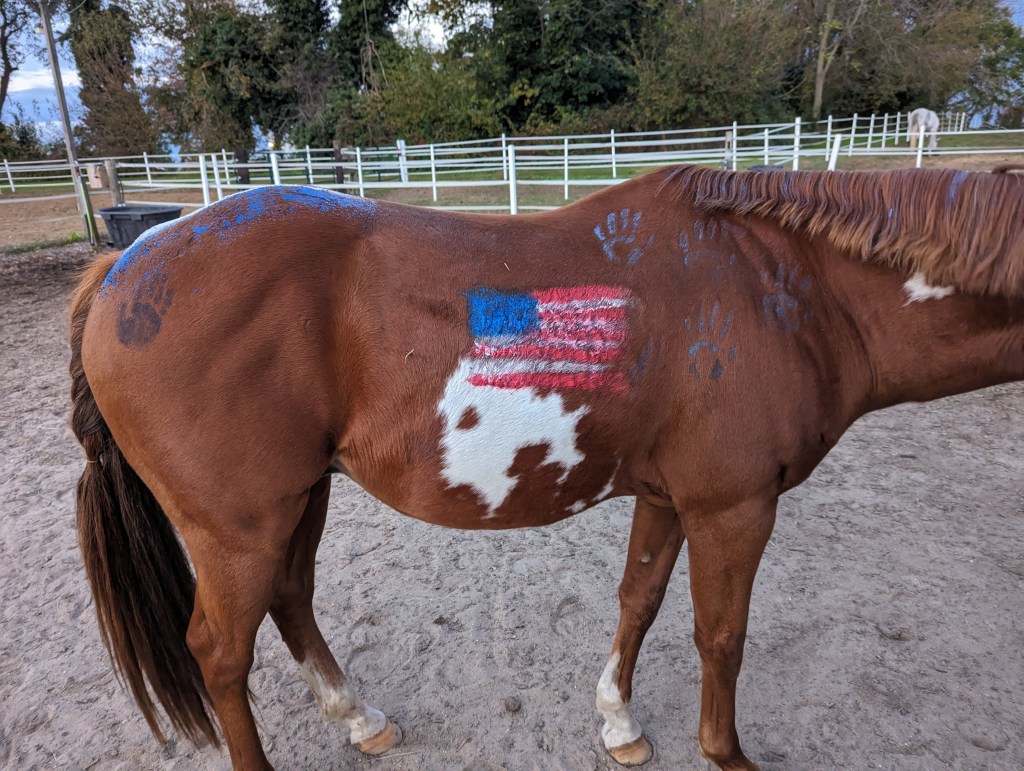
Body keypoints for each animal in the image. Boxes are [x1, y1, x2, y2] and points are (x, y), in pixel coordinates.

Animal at [70, 164, 1024, 770]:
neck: (782, 287)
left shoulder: (669, 497)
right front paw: (726, 753)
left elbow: (639, 600)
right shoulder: (735, 505)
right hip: (239, 525)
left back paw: (360, 717)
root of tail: (121, 269)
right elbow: (722, 637)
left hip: (299, 499)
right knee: (219, 652)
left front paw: (619, 723)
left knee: (289, 598)